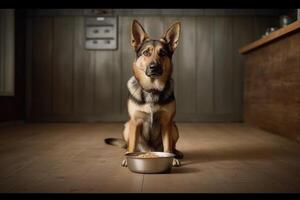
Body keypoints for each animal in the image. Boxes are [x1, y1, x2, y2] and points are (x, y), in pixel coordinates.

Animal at [104, 19, 182, 167]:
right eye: (146, 53)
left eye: (162, 53)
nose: (154, 67)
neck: (151, 89)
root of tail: (150, 150)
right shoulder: (135, 122)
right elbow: (132, 146)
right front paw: (128, 158)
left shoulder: (166, 122)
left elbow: (168, 146)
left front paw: (172, 157)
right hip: (127, 126)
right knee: (130, 145)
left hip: (174, 126)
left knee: (172, 145)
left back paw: (177, 153)